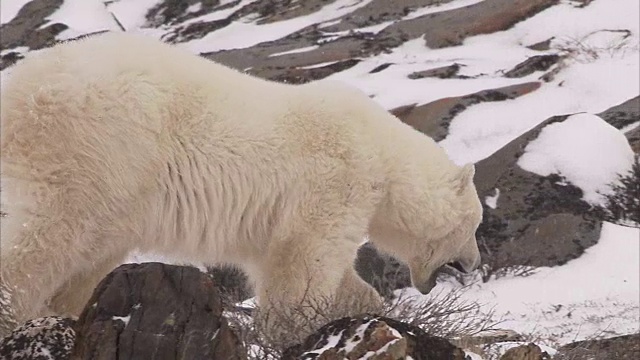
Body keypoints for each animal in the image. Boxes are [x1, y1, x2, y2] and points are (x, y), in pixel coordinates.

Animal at [0, 32, 480, 338]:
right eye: (474, 226)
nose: (474, 263)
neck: (385, 153)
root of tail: (18, 89)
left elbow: (299, 265)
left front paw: (366, 309)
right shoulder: (337, 178)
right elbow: (304, 260)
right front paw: (294, 331)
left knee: (91, 252)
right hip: (98, 146)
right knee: (50, 237)